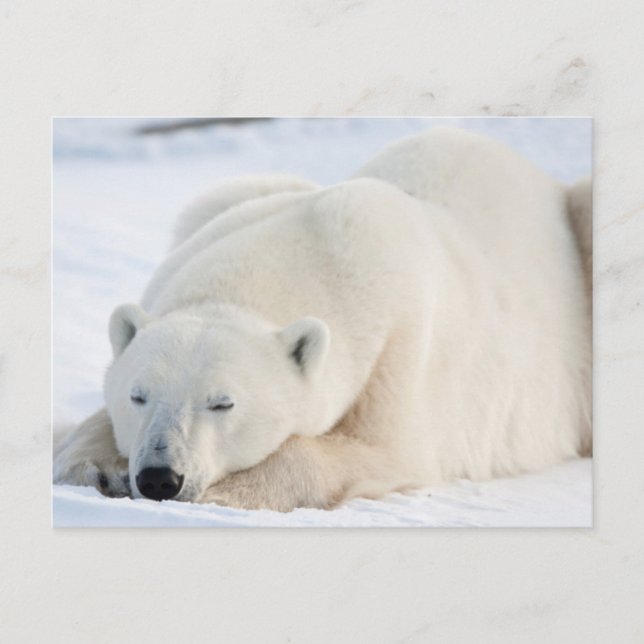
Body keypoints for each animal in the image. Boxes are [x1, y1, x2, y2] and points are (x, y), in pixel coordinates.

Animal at [53, 127, 592, 511]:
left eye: (223, 403)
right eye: (137, 395)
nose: (160, 477)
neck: (320, 240)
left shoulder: (402, 349)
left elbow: (379, 449)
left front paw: (229, 492)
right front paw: (94, 467)